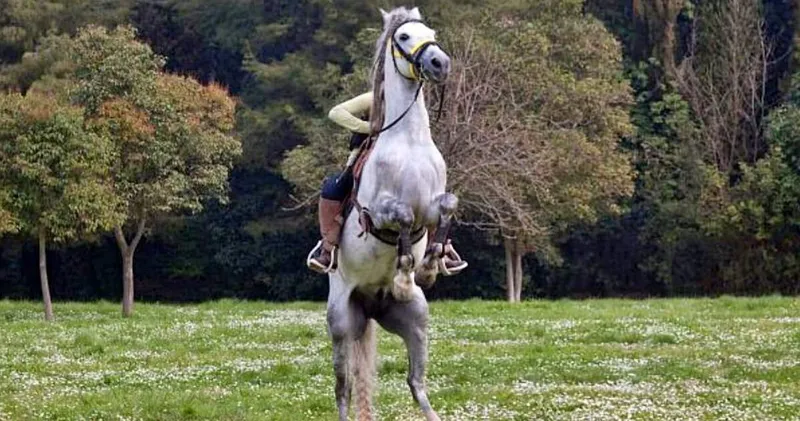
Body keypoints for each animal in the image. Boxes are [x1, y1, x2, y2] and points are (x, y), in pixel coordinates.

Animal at [326, 6, 457, 421]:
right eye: (403, 37)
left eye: (432, 34)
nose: (439, 62)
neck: (409, 141)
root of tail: (369, 304)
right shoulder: (379, 212)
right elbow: (400, 216)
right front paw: (405, 271)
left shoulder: (433, 204)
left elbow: (447, 207)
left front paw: (430, 263)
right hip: (341, 322)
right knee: (344, 389)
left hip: (415, 319)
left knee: (416, 383)